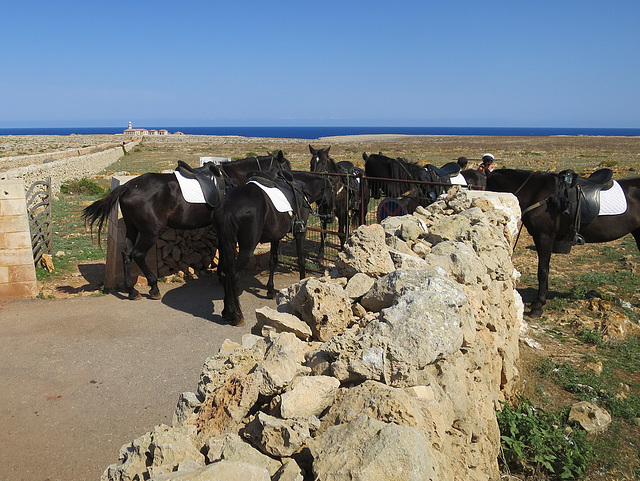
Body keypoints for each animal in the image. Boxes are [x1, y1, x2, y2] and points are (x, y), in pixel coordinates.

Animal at [83, 161, 230, 300]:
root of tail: (127, 187)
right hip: (151, 233)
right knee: (138, 254)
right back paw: (153, 287)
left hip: (132, 228)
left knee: (126, 253)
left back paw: (132, 291)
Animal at [215, 171, 336, 324]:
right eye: (332, 191)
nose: (331, 217)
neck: (302, 190)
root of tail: (228, 204)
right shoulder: (300, 233)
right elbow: (301, 261)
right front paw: (301, 285)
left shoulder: (275, 237)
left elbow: (273, 261)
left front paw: (271, 290)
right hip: (247, 248)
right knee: (232, 275)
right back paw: (235, 315)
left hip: (224, 245)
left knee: (224, 274)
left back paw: (227, 312)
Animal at [488, 167, 640, 316]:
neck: (537, 193)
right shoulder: (538, 237)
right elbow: (545, 268)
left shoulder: (545, 236)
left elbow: (542, 270)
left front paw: (538, 305)